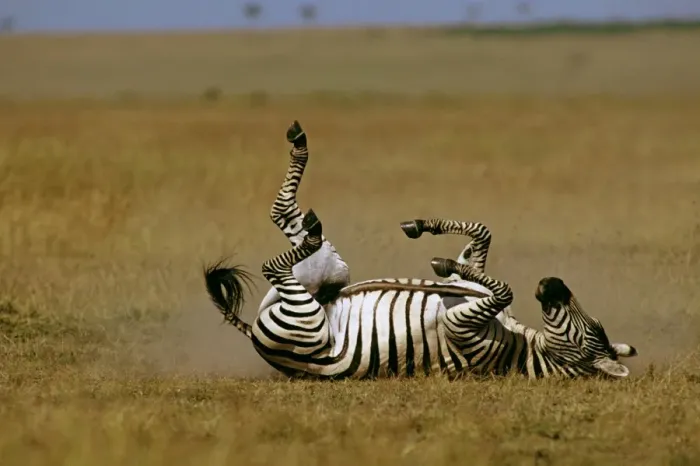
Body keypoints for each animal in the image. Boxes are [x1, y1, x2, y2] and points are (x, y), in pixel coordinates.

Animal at [204, 209, 638, 380]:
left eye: (585, 332)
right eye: (592, 324)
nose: (552, 283)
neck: (521, 346)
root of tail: (255, 334)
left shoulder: (460, 325)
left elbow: (502, 286)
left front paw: (441, 261)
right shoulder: (471, 293)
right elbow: (482, 234)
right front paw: (426, 232)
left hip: (304, 317)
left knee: (274, 267)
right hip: (323, 279)